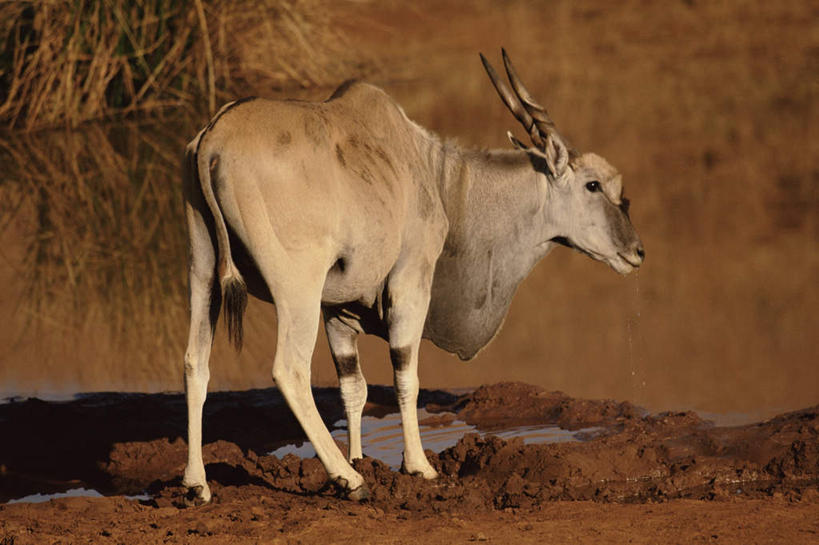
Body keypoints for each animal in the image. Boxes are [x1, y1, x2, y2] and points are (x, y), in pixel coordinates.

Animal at [183, 51, 644, 502]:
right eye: (593, 185)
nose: (636, 251)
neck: (438, 176)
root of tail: (214, 140)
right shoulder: (410, 284)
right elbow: (406, 377)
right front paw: (416, 466)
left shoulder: (337, 310)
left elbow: (354, 387)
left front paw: (360, 457)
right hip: (297, 291)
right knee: (290, 370)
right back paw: (349, 481)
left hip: (204, 276)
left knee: (195, 363)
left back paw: (196, 484)